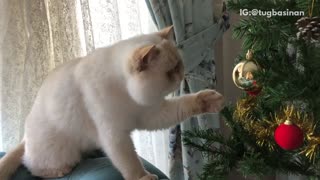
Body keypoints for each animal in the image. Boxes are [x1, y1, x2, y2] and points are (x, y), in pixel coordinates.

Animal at [0, 26, 224, 180]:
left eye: (180, 64)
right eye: (171, 71)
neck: (125, 92)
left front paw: (211, 100)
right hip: (62, 152)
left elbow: (184, 105)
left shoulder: (150, 114)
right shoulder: (114, 135)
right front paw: (144, 177)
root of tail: (24, 138)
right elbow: (130, 162)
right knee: (32, 166)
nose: (182, 75)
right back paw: (61, 170)